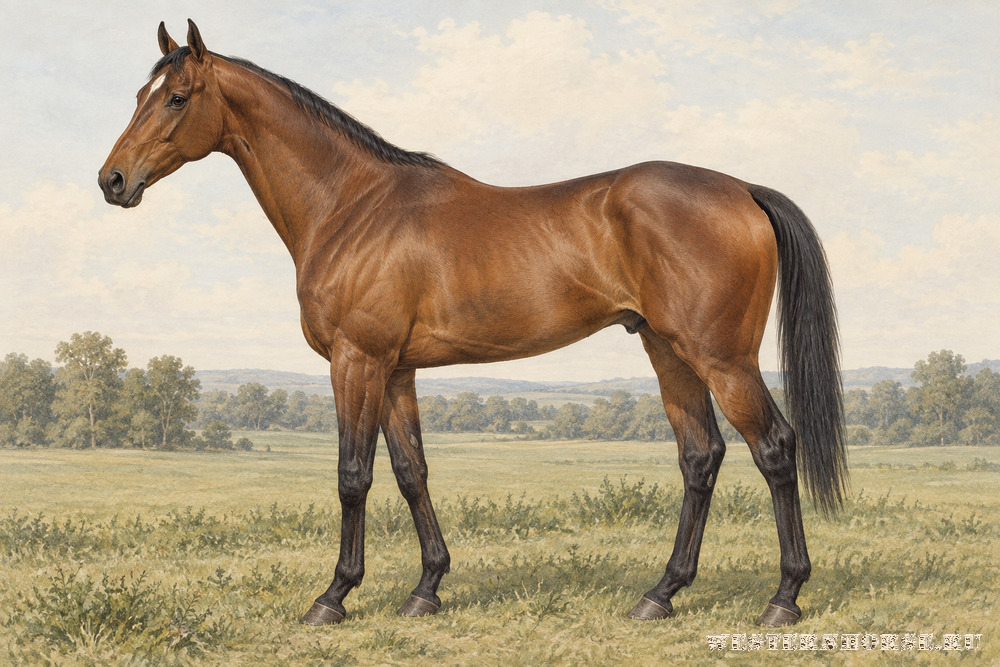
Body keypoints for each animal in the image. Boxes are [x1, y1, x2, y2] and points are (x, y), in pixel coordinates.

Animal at [99, 20, 847, 628]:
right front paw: (426, 589)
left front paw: (334, 596)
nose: (112, 181)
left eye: (176, 97)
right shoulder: (396, 369)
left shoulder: (356, 360)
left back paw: (783, 598)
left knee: (775, 448)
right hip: (669, 352)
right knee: (701, 456)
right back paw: (659, 594)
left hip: (722, 358)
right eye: (138, 95)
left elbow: (352, 475)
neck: (352, 204)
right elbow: (411, 471)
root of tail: (741, 189)